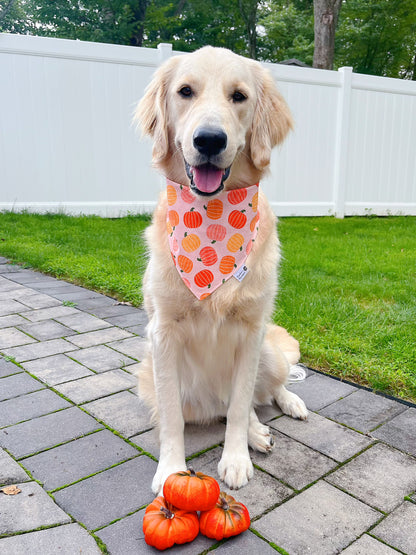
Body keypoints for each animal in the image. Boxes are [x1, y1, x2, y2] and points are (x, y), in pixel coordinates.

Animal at [135, 44, 308, 496]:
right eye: (185, 91)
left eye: (239, 96)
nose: (210, 140)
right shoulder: (163, 335)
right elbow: (173, 420)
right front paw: (171, 470)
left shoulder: (251, 332)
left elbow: (242, 402)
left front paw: (235, 459)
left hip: (268, 352)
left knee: (264, 392)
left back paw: (284, 409)